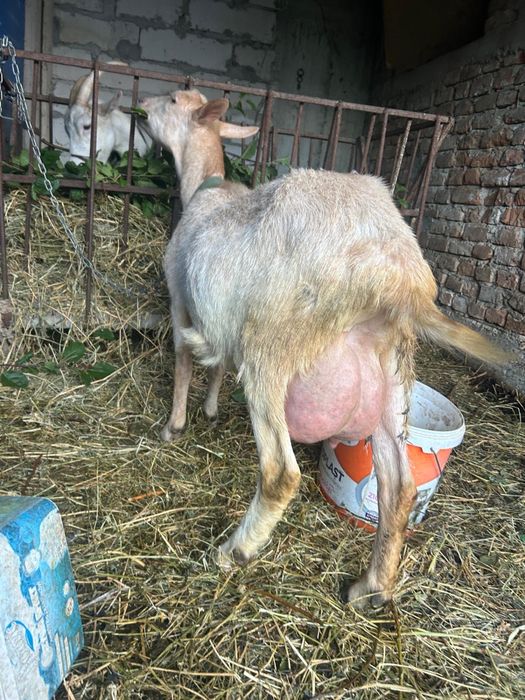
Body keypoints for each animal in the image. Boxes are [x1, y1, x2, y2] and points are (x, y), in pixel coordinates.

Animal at [140, 89, 508, 608]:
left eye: (173, 100)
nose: (142, 110)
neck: (209, 187)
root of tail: (400, 274)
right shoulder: (216, 318)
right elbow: (215, 367)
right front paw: (209, 409)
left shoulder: (178, 299)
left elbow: (183, 363)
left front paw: (173, 425)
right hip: (392, 370)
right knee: (400, 487)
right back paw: (370, 588)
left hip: (271, 347)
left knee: (280, 473)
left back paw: (235, 551)